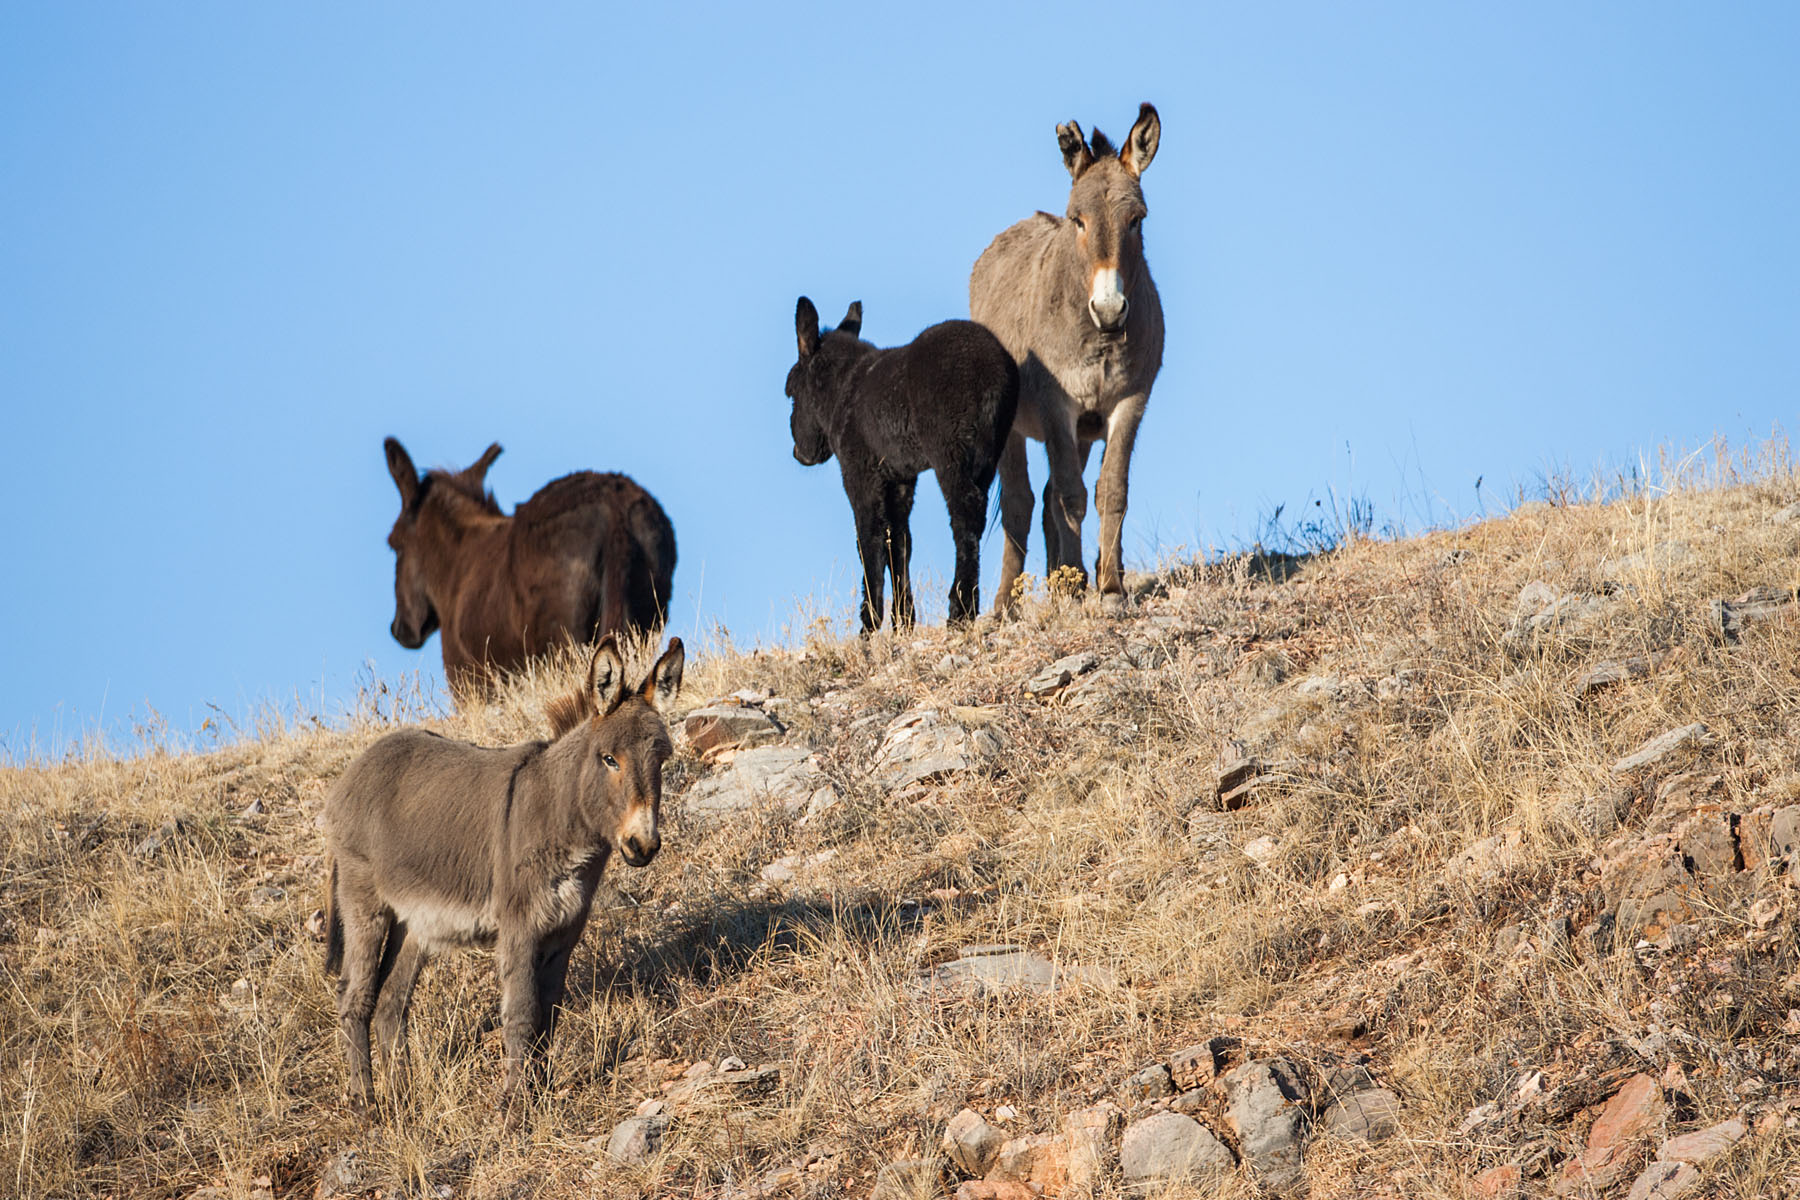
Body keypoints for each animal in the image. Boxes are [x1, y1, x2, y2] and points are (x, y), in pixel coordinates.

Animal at [324, 636, 680, 1115]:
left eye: (661, 760)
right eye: (609, 759)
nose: (643, 845)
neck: (561, 815)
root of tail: (356, 768)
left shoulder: (564, 933)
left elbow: (549, 1015)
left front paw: (542, 1093)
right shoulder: (519, 927)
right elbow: (522, 1013)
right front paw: (515, 1107)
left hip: (414, 922)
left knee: (391, 1002)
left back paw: (402, 1099)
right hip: (364, 900)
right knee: (355, 997)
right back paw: (365, 1103)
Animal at [972, 100, 1166, 611]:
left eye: (1137, 219)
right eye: (1077, 219)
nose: (1110, 309)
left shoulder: (1129, 402)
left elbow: (1110, 491)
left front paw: (1109, 586)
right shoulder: (1057, 405)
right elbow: (1070, 497)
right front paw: (1083, 582)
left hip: (1083, 429)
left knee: (1045, 500)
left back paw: (1067, 582)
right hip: (1010, 426)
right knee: (1021, 502)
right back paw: (1006, 604)